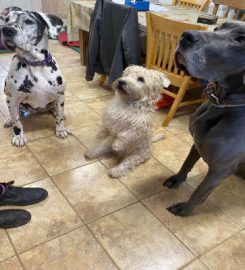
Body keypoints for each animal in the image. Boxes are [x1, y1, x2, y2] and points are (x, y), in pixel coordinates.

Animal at [0, 6, 71, 146]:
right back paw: (8, 120)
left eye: (29, 21)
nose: (6, 30)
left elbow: (60, 116)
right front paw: (19, 136)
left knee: (57, 110)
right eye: (7, 20)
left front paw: (60, 129)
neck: (34, 63)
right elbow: (17, 121)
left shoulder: (60, 95)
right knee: (15, 114)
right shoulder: (12, 99)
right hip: (11, 101)